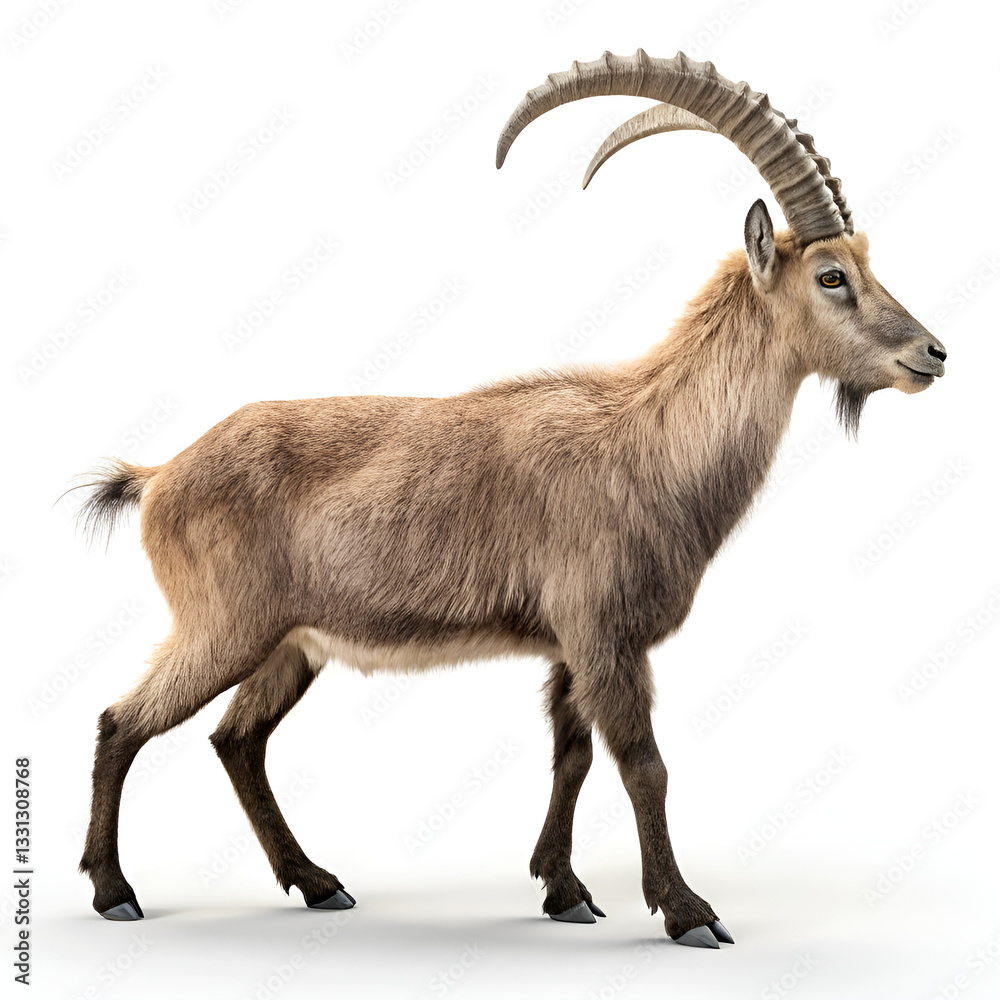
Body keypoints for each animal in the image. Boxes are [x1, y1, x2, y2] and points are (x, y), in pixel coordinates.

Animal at [77, 50, 946, 947]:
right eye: (832, 275)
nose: (934, 353)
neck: (648, 438)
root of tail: (159, 475)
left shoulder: (570, 644)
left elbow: (573, 754)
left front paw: (566, 891)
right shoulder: (605, 634)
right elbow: (644, 764)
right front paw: (688, 912)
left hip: (290, 644)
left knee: (236, 739)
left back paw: (317, 882)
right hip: (223, 626)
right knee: (122, 721)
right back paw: (115, 891)